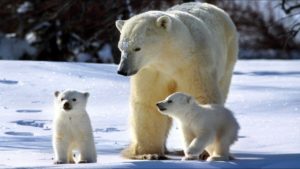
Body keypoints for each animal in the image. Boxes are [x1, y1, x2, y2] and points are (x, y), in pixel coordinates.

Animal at [116, 1, 238, 159]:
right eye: (121, 48)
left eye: (137, 48)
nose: (122, 70)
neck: (171, 57)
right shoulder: (151, 70)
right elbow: (148, 101)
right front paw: (149, 153)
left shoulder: (194, 65)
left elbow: (201, 95)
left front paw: (204, 152)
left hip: (228, 56)